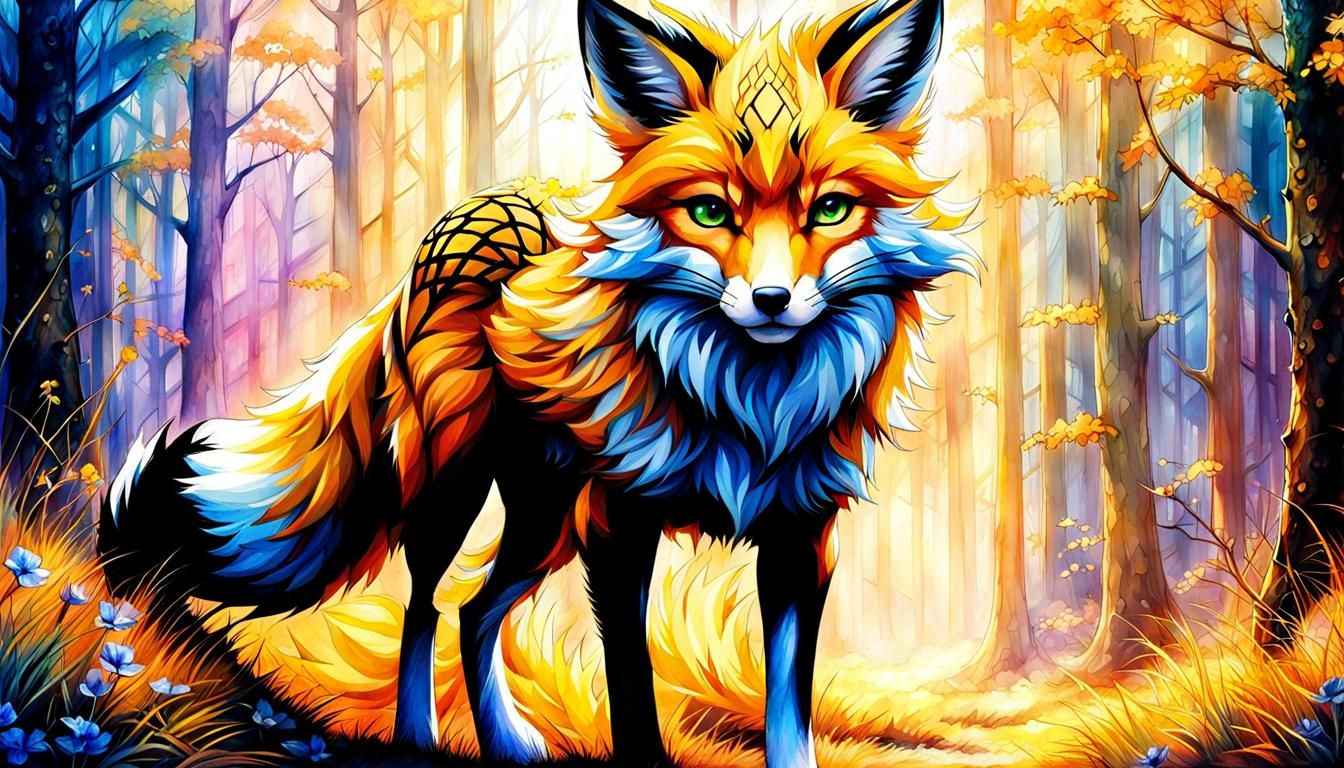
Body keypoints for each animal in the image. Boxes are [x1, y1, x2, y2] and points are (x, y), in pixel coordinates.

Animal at [99, 0, 973, 764]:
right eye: (709, 213)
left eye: (828, 210)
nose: (770, 300)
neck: (747, 408)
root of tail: (478, 219)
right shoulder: (618, 524)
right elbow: (632, 688)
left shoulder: (800, 536)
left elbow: (789, 710)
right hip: (461, 495)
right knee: (427, 604)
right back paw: (419, 740)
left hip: (546, 522)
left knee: (476, 610)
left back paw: (507, 743)